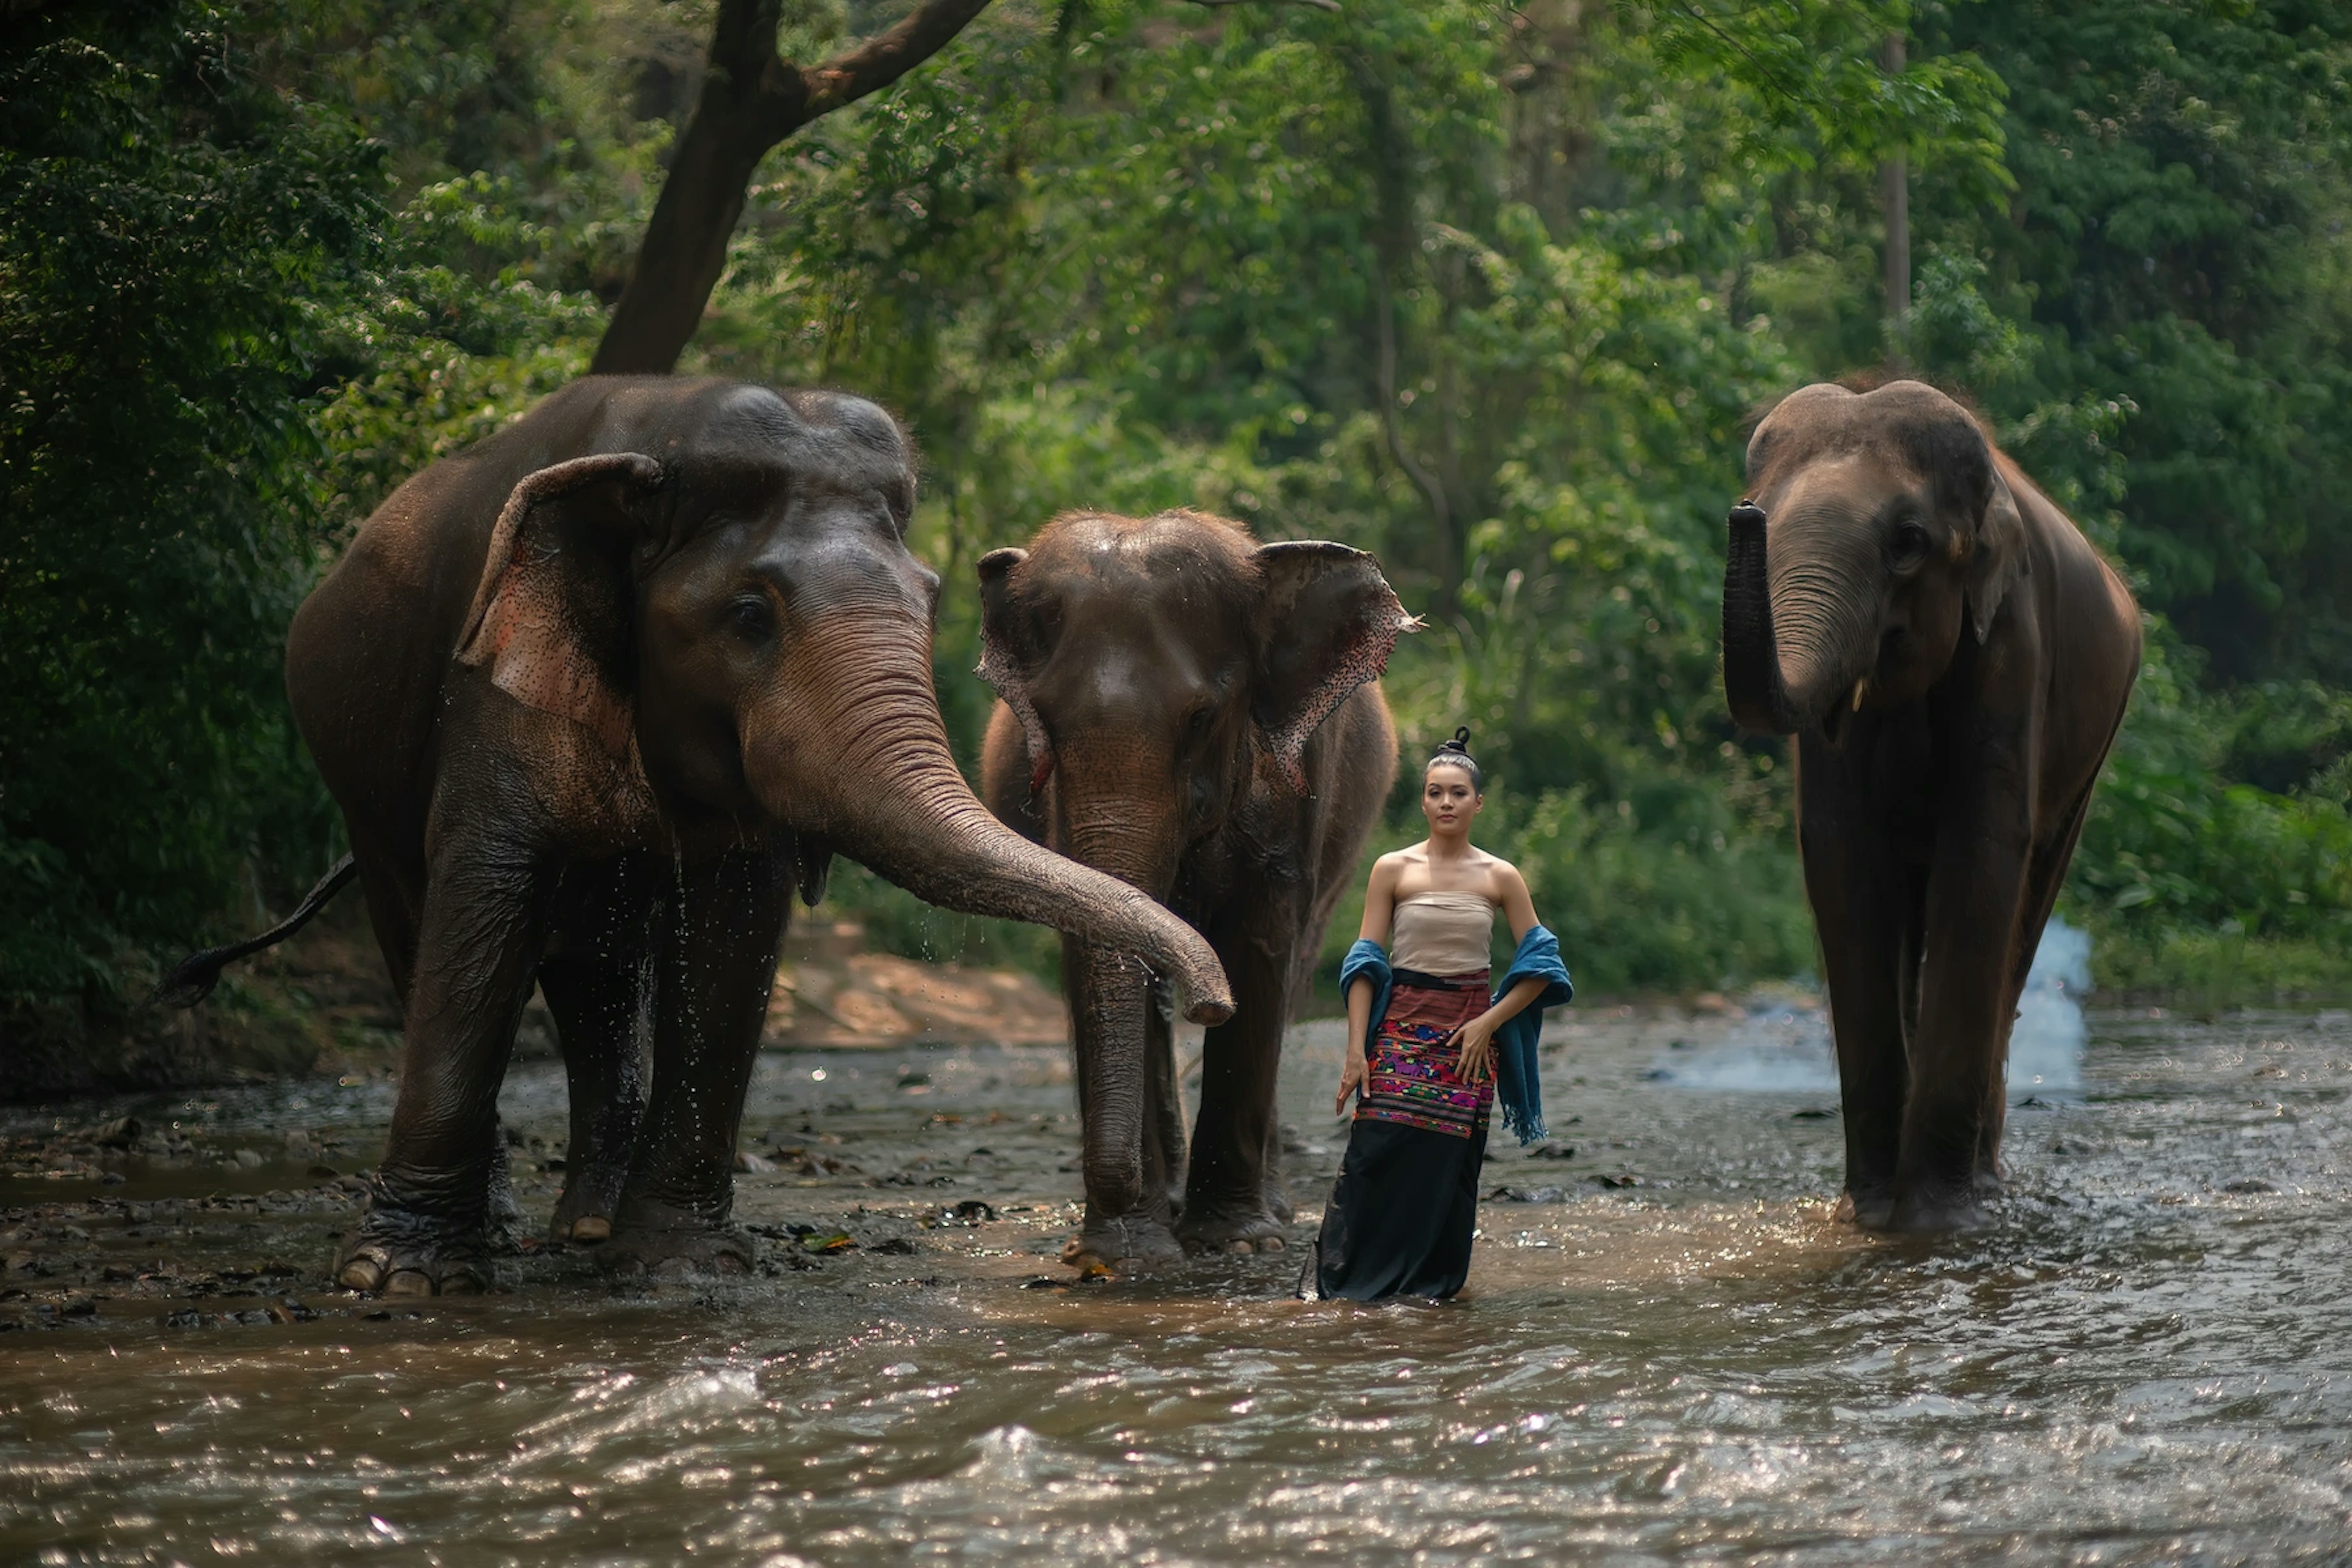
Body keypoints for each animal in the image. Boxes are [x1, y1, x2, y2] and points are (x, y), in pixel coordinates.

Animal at [165, 374, 1232, 1297]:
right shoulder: (492, 679)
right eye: (749, 615)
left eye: (931, 601)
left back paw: (587, 1227)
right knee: (422, 925)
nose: (1209, 1001)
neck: (654, 438)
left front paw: (677, 1264)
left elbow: (734, 920)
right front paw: (399, 1280)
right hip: (356, 773)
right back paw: (507, 1224)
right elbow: (487, 893)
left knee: (596, 971)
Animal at [973, 510, 1411, 1269]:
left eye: (1201, 718)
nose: (1207, 1004)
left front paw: (1235, 1240)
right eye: (1044, 721)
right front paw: (1127, 1250)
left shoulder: (1297, 787)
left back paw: (1269, 1207)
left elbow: (1260, 949)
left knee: (1294, 973)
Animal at [1721, 383, 2145, 1241]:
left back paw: (1986, 1177)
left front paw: (1936, 1223)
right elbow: (1840, 857)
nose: (1739, 515)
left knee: (2026, 909)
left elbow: (1983, 853)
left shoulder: (2015, 643)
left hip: (2094, 747)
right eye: (1765, 517)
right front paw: (1866, 1212)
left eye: (1908, 542)